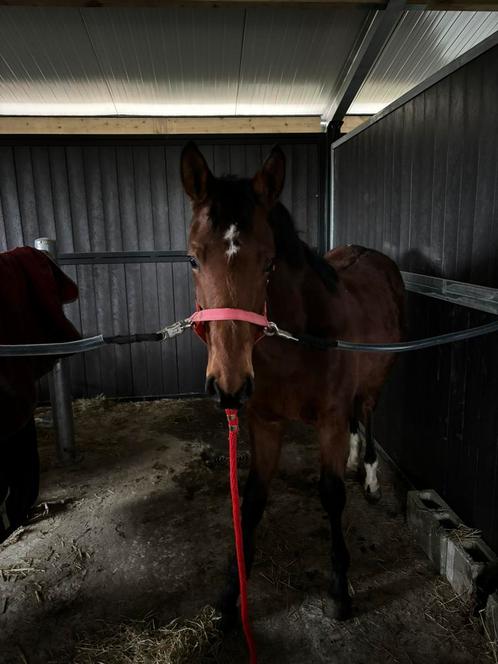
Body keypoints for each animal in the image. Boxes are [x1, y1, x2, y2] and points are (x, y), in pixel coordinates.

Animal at [180, 141, 404, 624]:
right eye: (192, 258)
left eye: (269, 262)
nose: (229, 385)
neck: (297, 344)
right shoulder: (264, 424)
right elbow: (251, 501)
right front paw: (231, 595)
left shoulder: (330, 422)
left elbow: (332, 494)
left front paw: (340, 590)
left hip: (377, 378)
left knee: (367, 416)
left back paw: (371, 479)